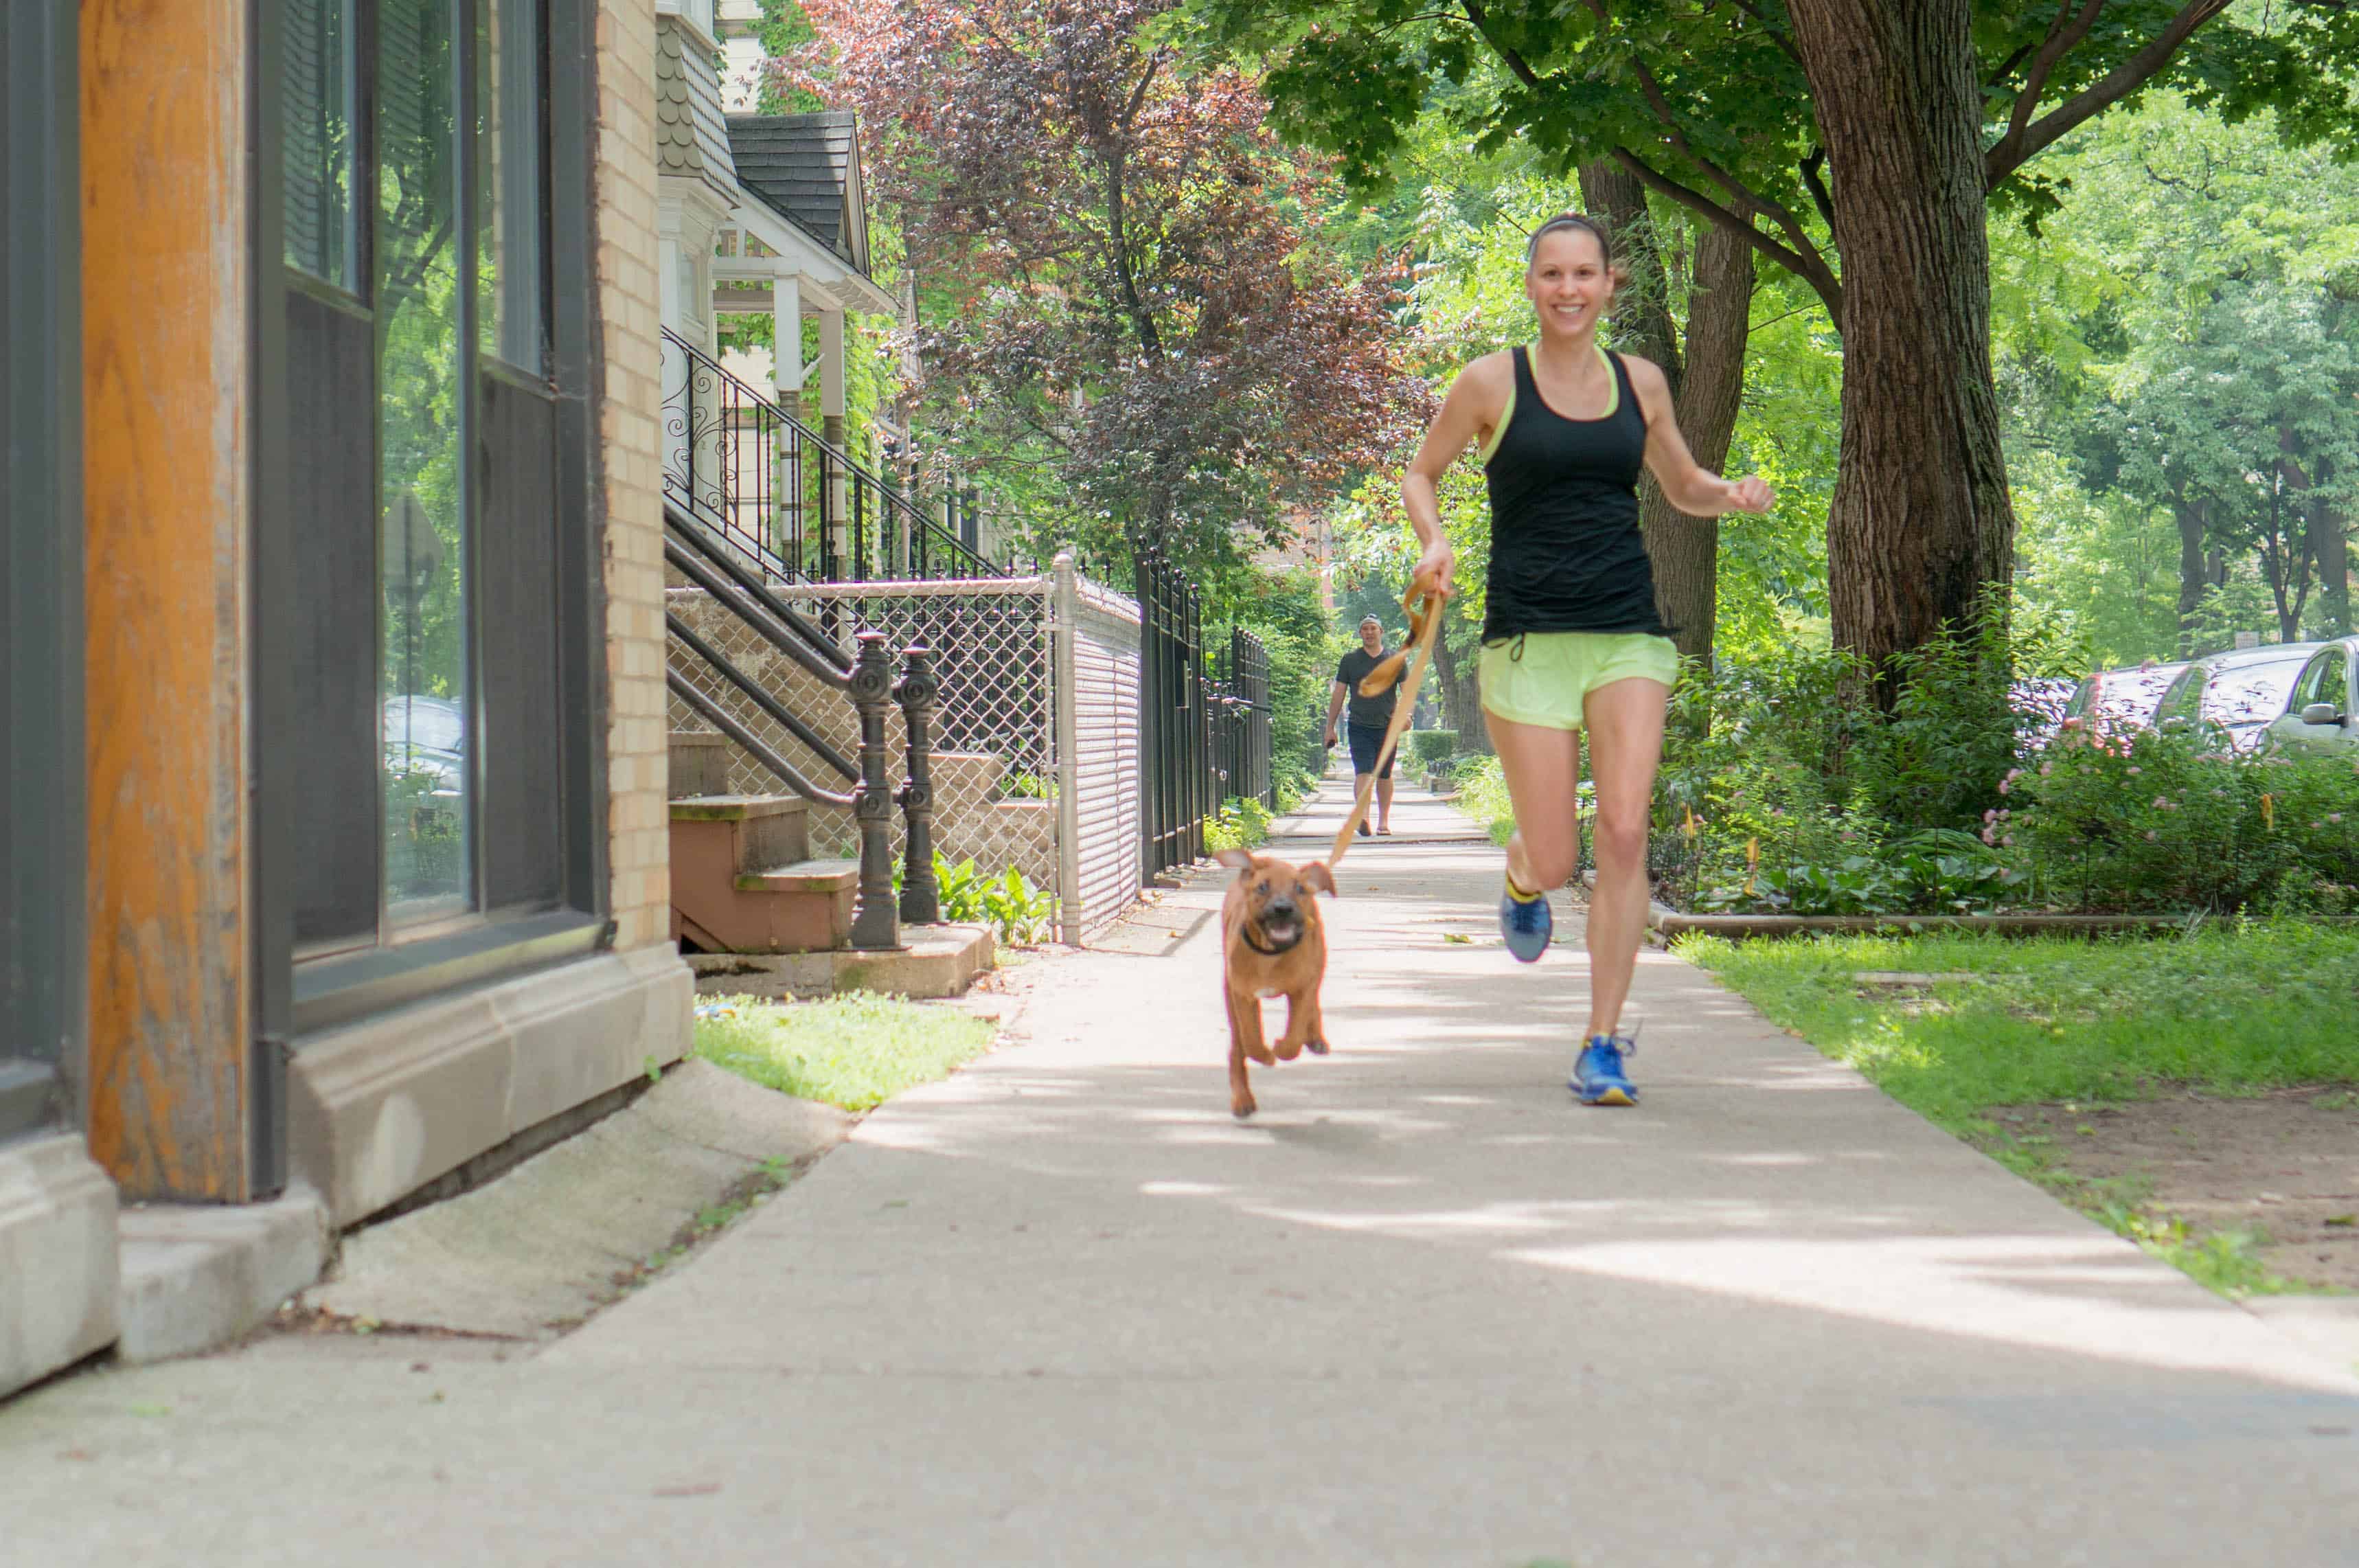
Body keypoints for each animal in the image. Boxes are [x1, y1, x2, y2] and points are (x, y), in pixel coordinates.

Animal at [1227, 848, 1340, 1117]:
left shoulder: (1302, 988)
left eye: (1299, 888)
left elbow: (1294, 1035)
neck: (1270, 954)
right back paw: (1242, 1098)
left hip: (1317, 965)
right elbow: (1251, 1040)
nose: (1282, 909)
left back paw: (1316, 1039)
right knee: (1237, 1045)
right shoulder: (1241, 994)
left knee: (1314, 1004)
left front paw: (1283, 1047)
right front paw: (1266, 1056)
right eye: (1262, 887)